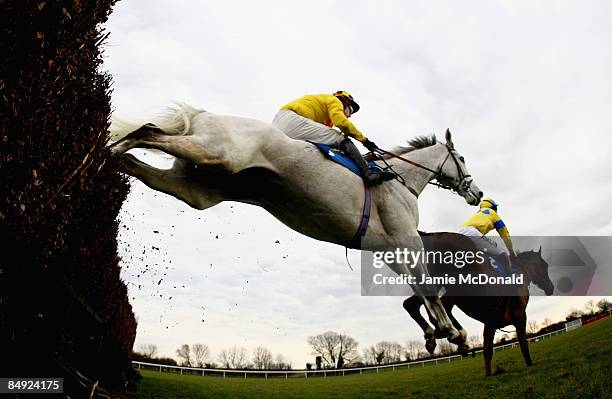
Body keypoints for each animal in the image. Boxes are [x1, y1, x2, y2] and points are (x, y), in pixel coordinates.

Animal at [110, 104, 482, 346]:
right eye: (462, 158)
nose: (477, 193)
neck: (401, 181)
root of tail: (205, 113)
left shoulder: (389, 249)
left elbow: (419, 287)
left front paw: (442, 331)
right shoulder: (406, 238)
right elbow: (428, 285)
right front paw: (452, 331)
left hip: (196, 188)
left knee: (135, 162)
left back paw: (107, 159)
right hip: (216, 153)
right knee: (146, 131)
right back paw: (111, 148)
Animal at [404, 233, 556, 376]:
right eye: (545, 265)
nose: (550, 287)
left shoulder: (490, 323)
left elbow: (487, 352)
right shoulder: (520, 316)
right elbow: (523, 344)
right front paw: (529, 364)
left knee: (412, 304)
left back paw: (440, 337)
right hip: (460, 283)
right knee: (442, 308)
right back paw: (455, 335)